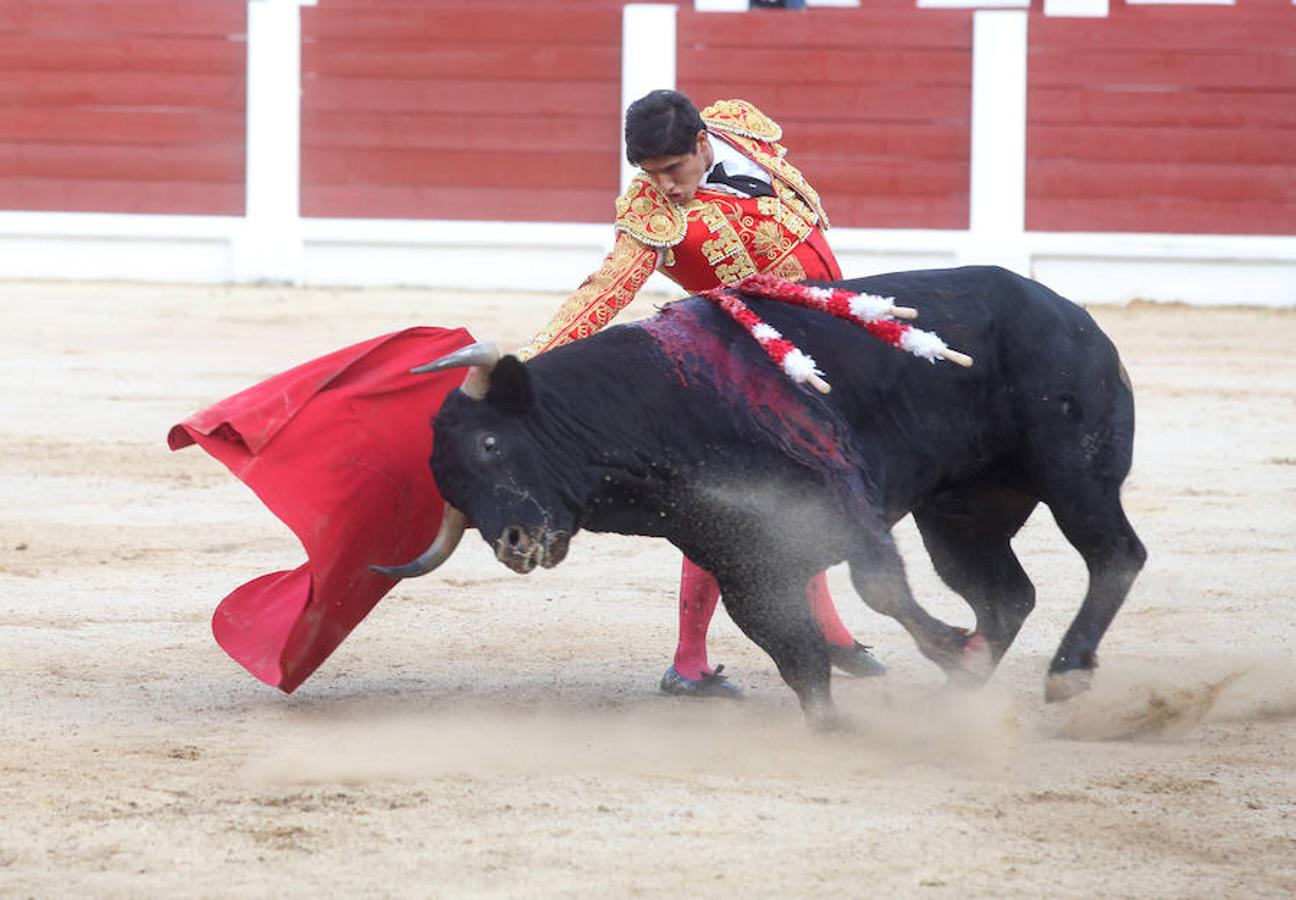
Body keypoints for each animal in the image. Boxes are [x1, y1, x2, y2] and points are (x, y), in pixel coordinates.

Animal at [375, 264, 1145, 731]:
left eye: (489, 444)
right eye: (451, 489)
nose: (513, 544)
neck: (658, 410)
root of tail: (1070, 313)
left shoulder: (845, 498)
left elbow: (877, 589)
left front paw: (951, 650)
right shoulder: (745, 557)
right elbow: (791, 647)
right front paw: (838, 720)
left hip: (1074, 472)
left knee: (1115, 555)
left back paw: (1064, 673)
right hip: (959, 516)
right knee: (1007, 593)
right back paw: (964, 692)